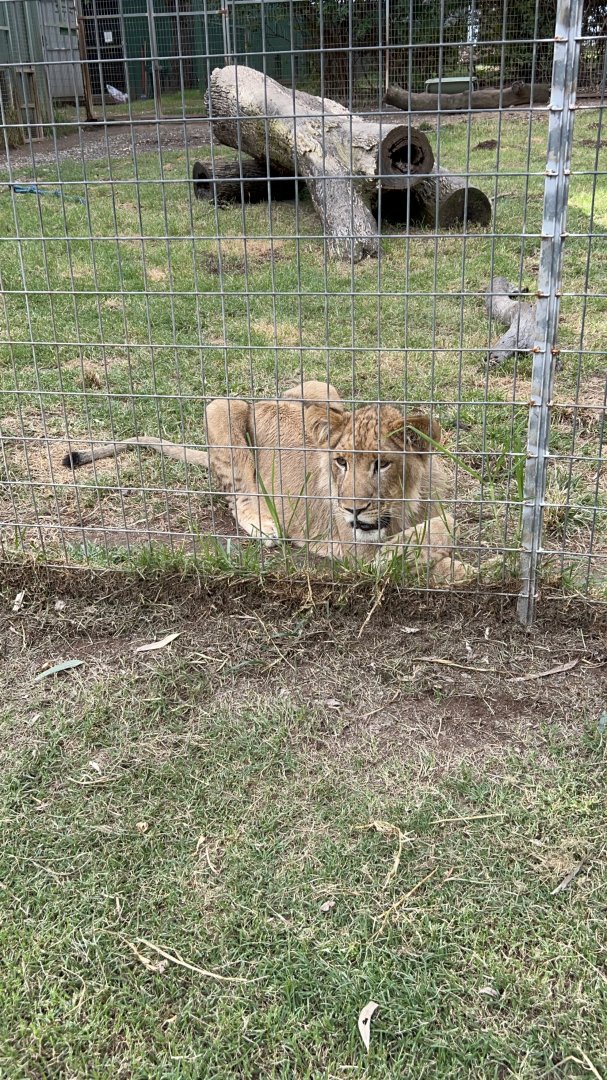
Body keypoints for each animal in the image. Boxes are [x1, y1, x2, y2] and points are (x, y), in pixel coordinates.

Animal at [62, 380, 468, 582]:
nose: (352, 509)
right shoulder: (353, 546)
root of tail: (261, 401)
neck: (404, 506)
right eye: (340, 462)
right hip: (221, 408)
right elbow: (443, 529)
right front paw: (460, 569)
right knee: (237, 496)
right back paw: (266, 526)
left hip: (320, 387)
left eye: (382, 465)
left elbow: (440, 525)